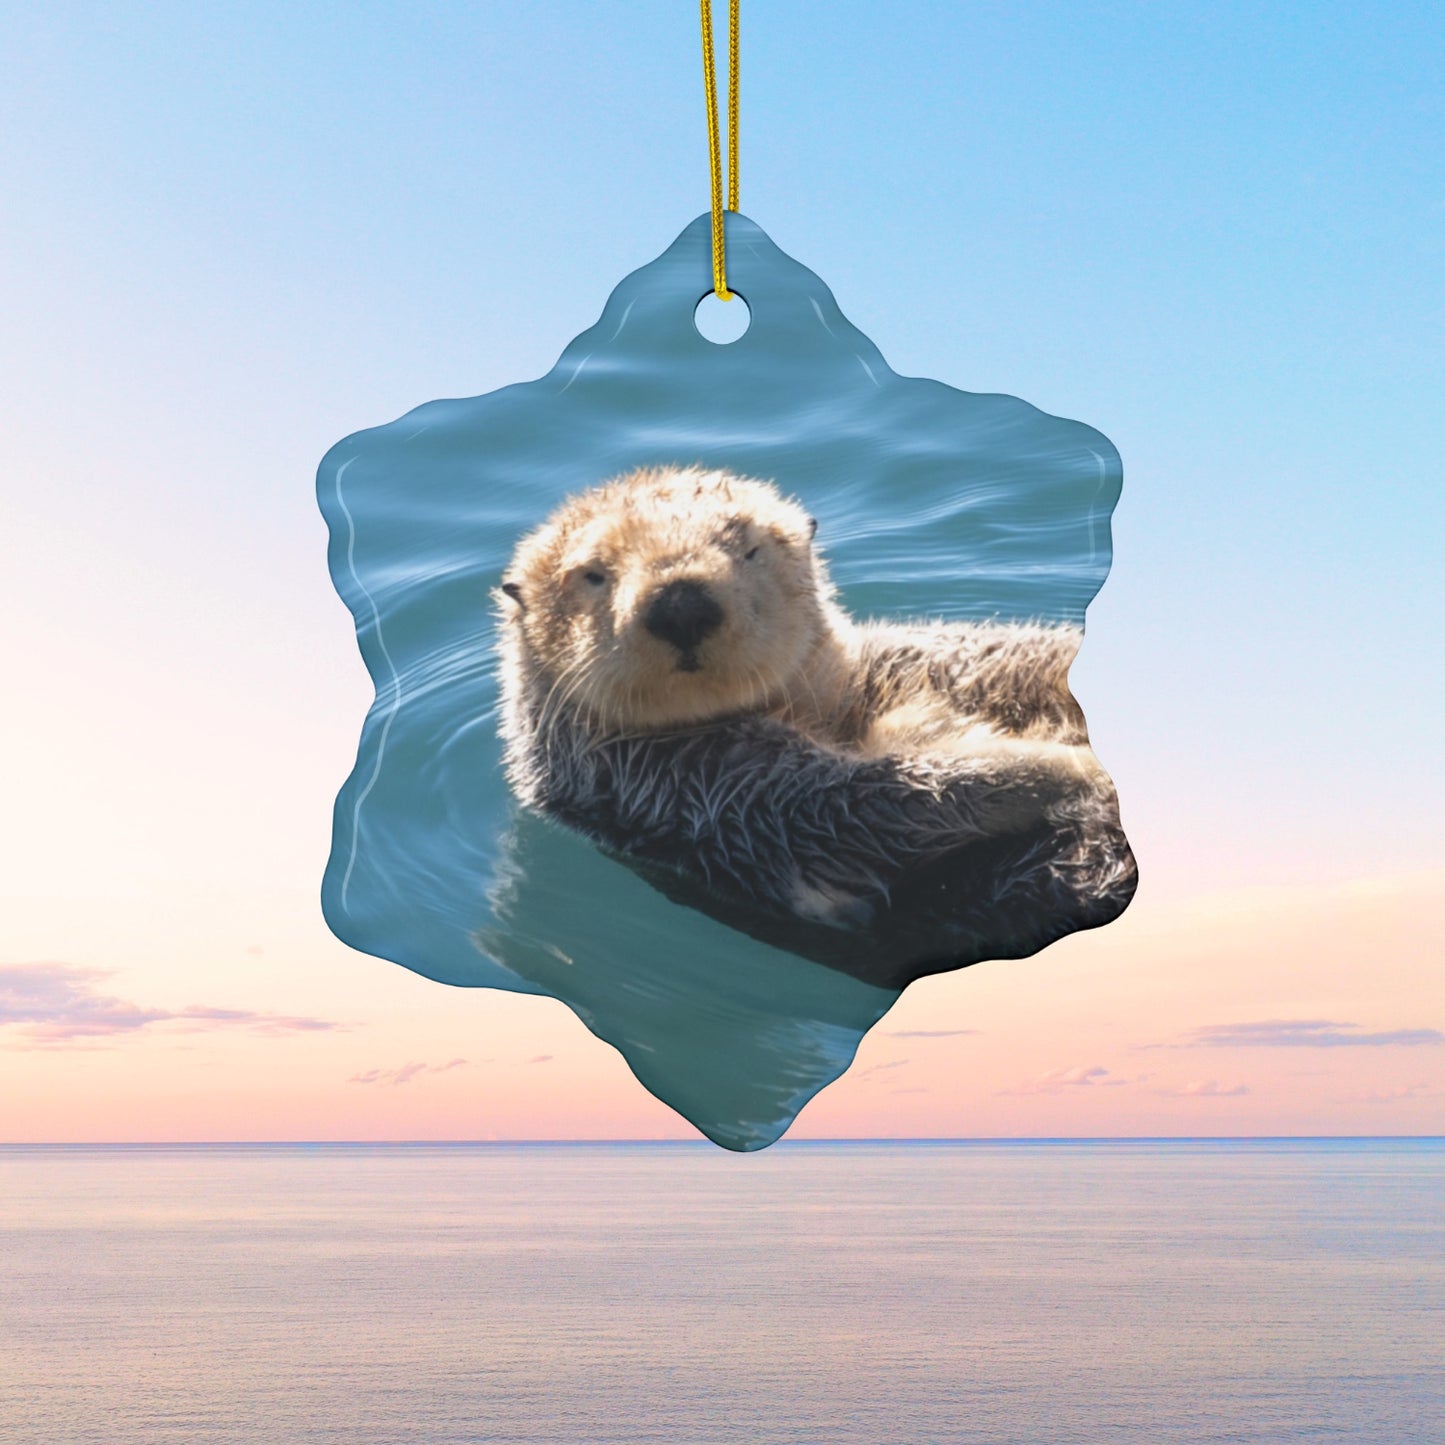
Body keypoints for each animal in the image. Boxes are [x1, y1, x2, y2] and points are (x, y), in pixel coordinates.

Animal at [496, 466, 1135, 988]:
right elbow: (867, 803)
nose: (680, 602)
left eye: (749, 549)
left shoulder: (897, 666)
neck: (816, 711)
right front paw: (1074, 769)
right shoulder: (696, 789)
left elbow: (998, 660)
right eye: (592, 574)